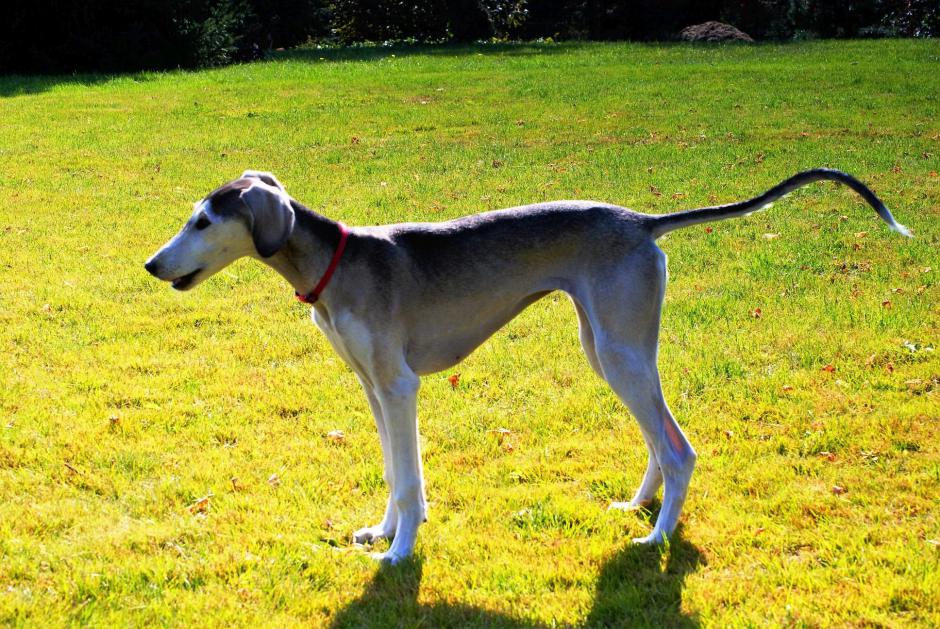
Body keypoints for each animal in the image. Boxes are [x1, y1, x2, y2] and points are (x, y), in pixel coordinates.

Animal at [145, 168, 912, 564]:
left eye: (204, 222)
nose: (152, 265)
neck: (336, 260)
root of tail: (641, 220)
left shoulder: (398, 386)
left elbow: (411, 481)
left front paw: (400, 552)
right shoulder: (371, 388)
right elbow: (393, 474)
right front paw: (381, 533)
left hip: (621, 352)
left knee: (680, 446)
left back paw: (657, 534)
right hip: (609, 348)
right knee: (659, 436)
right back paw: (639, 504)